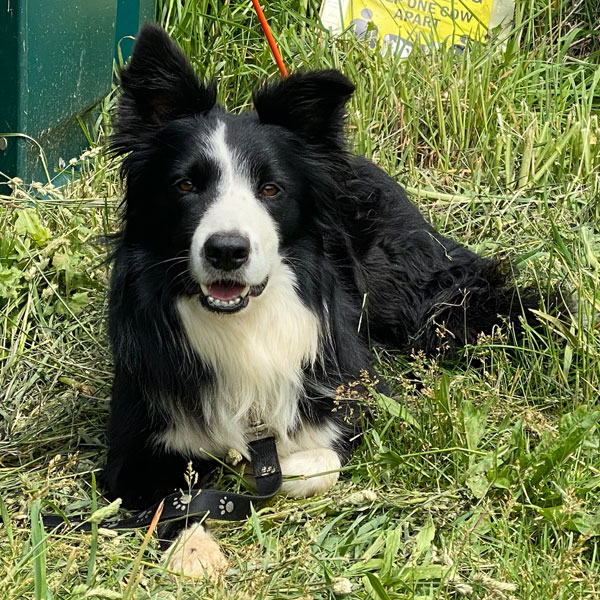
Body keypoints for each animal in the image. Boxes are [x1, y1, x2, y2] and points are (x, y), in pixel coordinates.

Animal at [106, 24, 544, 576]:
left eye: (271, 190)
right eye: (185, 185)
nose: (227, 251)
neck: (243, 322)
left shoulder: (351, 396)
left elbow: (313, 463)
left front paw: (278, 471)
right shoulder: (132, 447)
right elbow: (171, 500)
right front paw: (194, 549)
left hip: (407, 294)